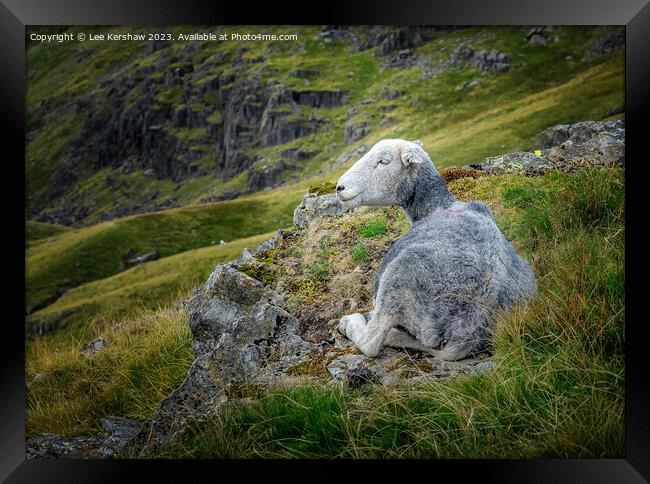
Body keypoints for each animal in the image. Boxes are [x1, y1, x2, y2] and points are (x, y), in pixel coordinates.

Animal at [332, 137, 536, 360]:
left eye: (384, 161)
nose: (339, 187)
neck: (437, 205)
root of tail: (468, 329)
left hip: (397, 278)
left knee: (372, 342)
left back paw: (351, 324)